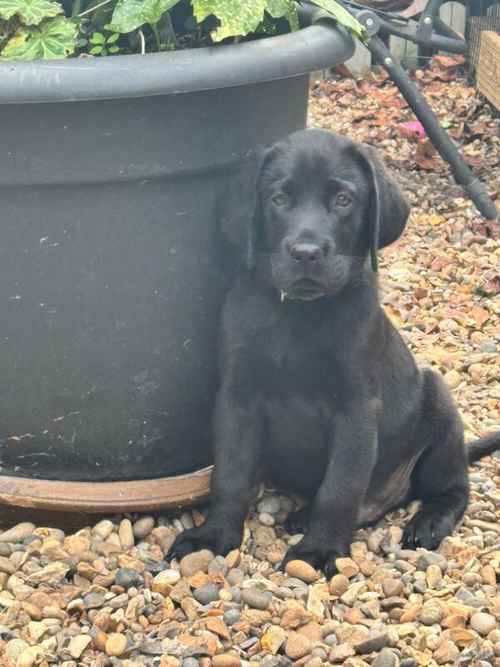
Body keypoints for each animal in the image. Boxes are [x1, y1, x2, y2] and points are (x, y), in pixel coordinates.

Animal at [170, 128, 498, 576]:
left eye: (343, 200)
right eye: (279, 199)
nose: (307, 252)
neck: (300, 316)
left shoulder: (357, 410)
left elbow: (340, 488)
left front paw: (320, 549)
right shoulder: (237, 399)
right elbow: (231, 474)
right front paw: (213, 535)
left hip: (439, 402)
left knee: (452, 489)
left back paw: (427, 521)